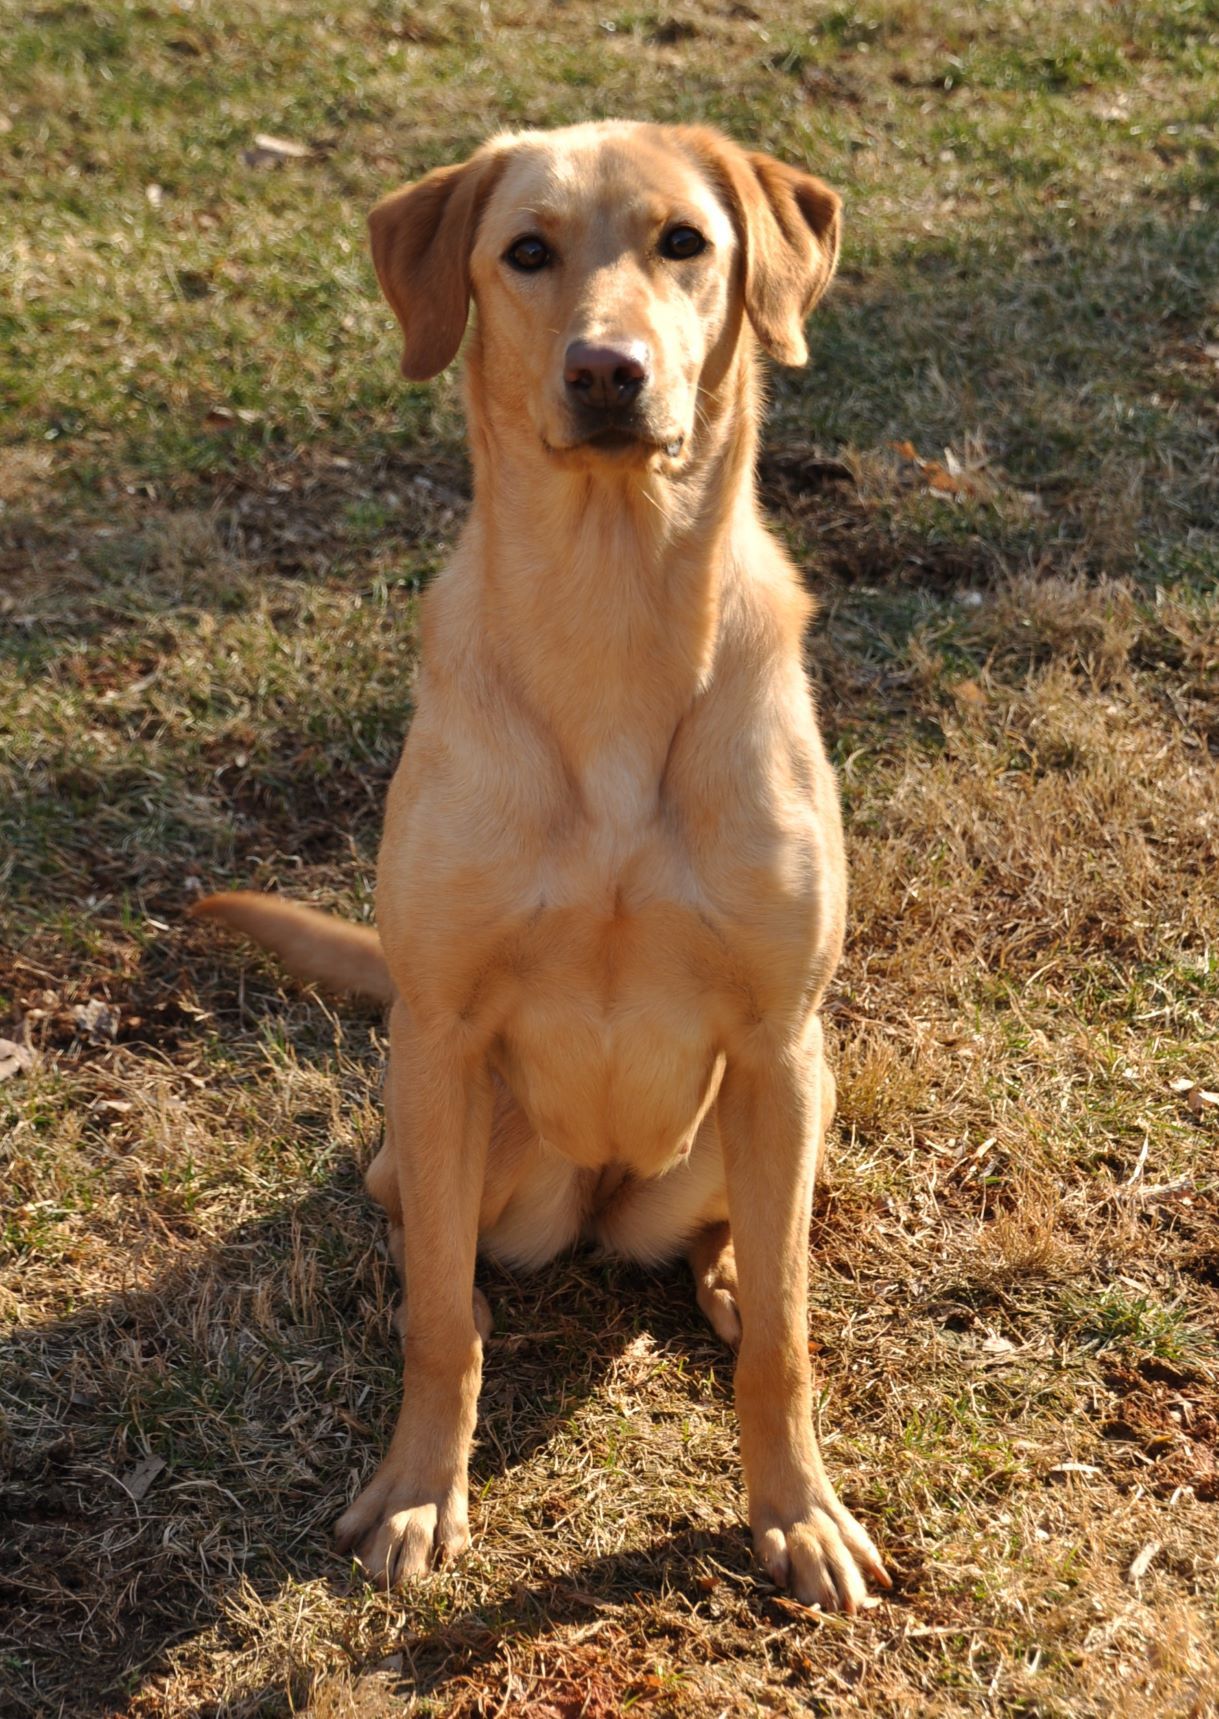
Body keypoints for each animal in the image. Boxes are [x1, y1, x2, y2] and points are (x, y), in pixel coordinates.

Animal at [195, 121, 887, 1608]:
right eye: (525, 251)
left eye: (684, 243)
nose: (605, 370)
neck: (613, 609)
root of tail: (598, 1201)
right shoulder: (442, 1031)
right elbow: (439, 1329)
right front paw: (416, 1492)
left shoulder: (775, 1033)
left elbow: (785, 1336)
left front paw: (796, 1509)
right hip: (430, 1137)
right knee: (437, 1252)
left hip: (780, 1099)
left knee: (751, 1242)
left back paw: (728, 1270)